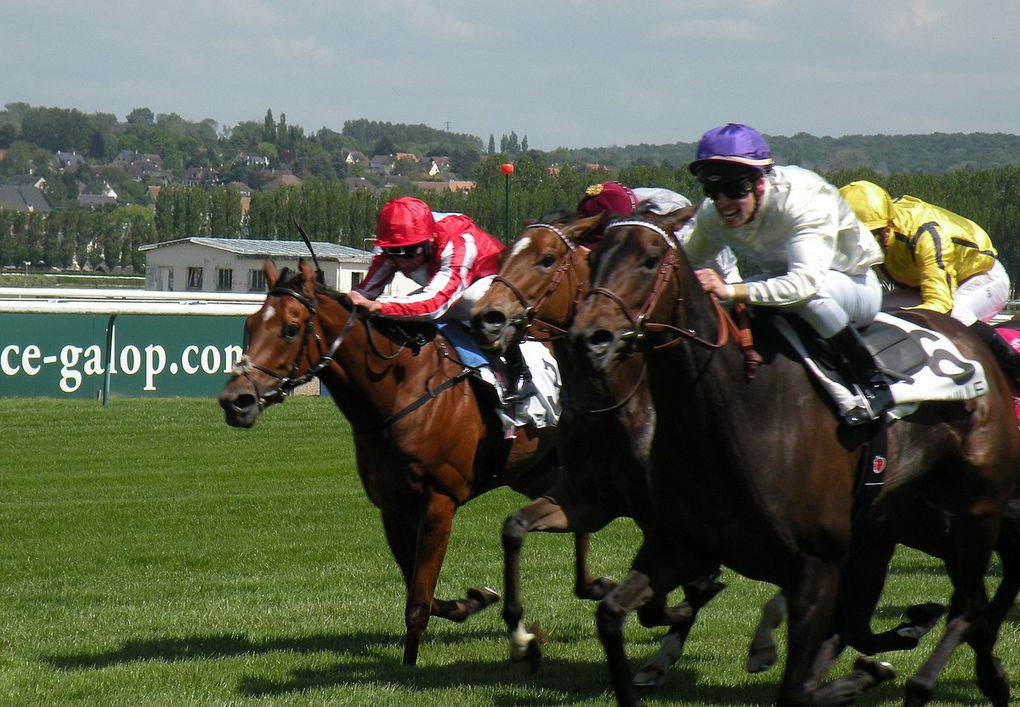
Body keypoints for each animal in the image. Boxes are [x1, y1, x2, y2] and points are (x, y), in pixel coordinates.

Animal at [220, 260, 595, 669]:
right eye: (249, 325)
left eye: (290, 329)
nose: (235, 401)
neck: (401, 391)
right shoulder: (392, 505)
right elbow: (420, 588)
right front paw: (473, 600)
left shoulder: (439, 501)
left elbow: (418, 599)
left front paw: (410, 664)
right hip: (538, 471)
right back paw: (590, 586)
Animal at [575, 211, 1020, 705]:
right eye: (593, 258)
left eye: (650, 260)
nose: (590, 339)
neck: (735, 411)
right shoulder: (681, 542)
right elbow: (614, 613)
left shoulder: (817, 564)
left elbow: (796, 689)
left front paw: (863, 671)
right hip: (893, 526)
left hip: (973, 513)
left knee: (970, 606)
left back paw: (935, 676)